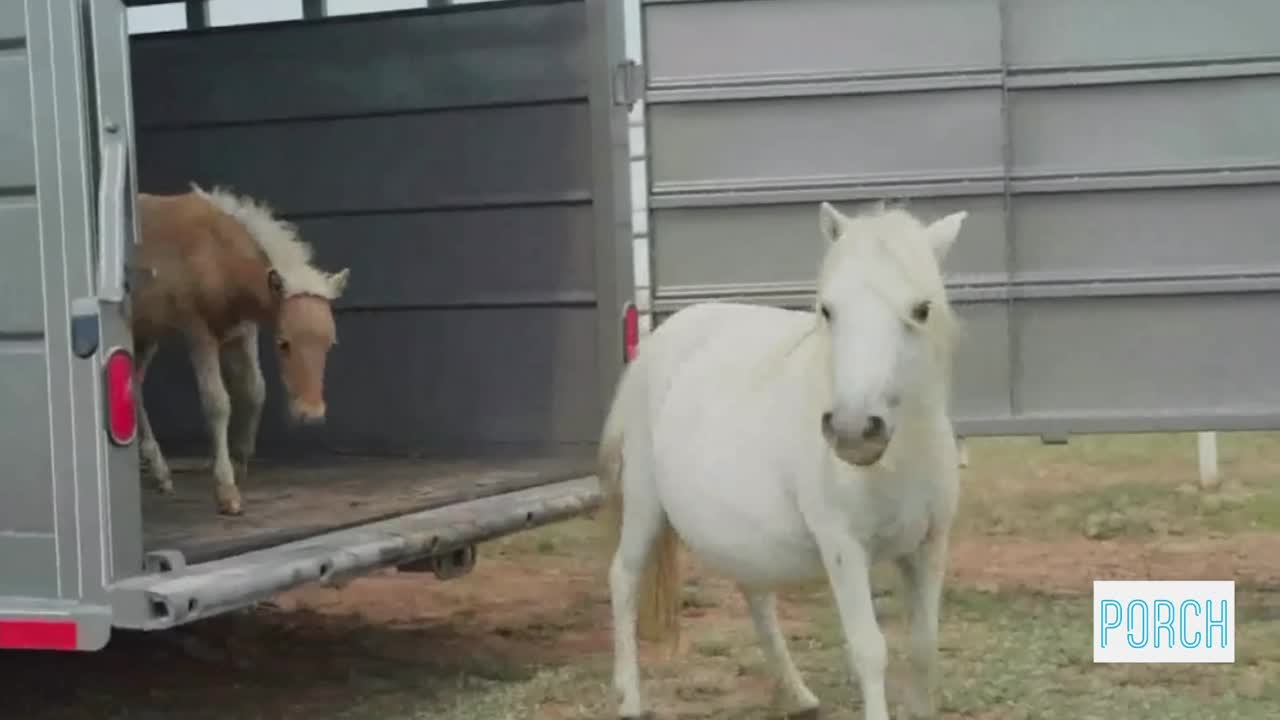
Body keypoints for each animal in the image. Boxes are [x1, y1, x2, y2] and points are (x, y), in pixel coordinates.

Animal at [130, 183, 350, 516]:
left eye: (330, 344)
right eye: (283, 343)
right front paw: (227, 490)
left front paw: (240, 460)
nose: (310, 415)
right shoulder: (198, 331)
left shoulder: (242, 332)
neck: (217, 256)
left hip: (147, 332)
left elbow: (254, 390)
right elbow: (217, 402)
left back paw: (160, 473)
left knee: (135, 383)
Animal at [598, 201, 968, 719]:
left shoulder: (930, 545)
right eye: (828, 309)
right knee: (624, 579)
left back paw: (798, 694)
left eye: (921, 309)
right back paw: (630, 698)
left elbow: (924, 646)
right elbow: (870, 650)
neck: (897, 462)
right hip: (643, 503)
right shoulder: (843, 548)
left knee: (756, 598)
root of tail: (659, 339)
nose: (853, 430)